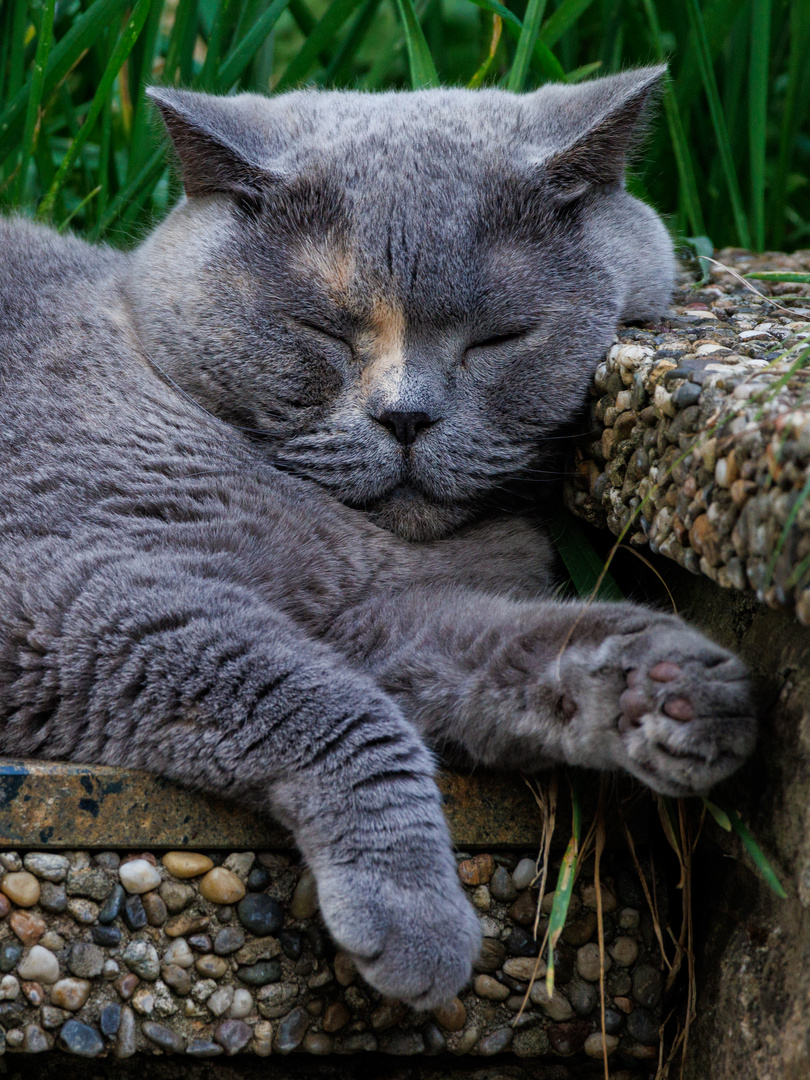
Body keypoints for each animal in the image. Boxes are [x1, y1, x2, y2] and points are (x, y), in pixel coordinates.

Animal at [0, 67, 760, 1006]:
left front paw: (673, 689)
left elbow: (516, 646)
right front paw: (415, 917)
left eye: (497, 340)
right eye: (321, 332)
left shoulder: (387, 614)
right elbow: (320, 699)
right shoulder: (70, 588)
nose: (406, 416)